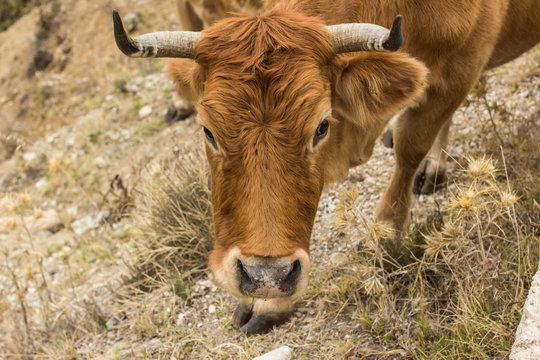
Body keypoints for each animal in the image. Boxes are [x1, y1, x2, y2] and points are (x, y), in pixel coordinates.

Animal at [114, 0, 540, 334]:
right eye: (208, 131)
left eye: (321, 126)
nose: (266, 276)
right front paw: (269, 302)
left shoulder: (460, 71)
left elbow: (409, 147)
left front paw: (382, 237)